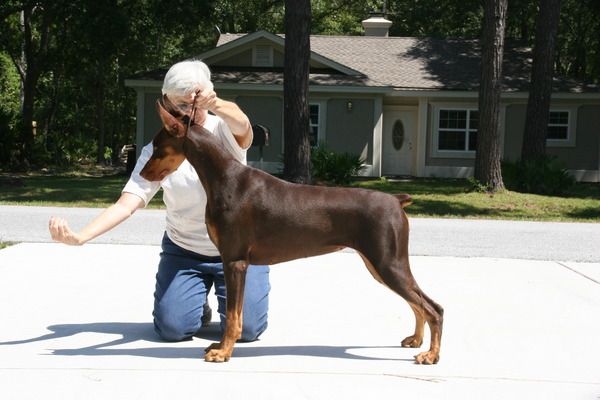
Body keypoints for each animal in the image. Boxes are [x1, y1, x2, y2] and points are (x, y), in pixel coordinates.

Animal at [140, 97, 444, 364]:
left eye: (157, 147)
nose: (141, 173)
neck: (223, 177)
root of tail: (396, 200)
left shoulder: (235, 261)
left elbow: (235, 316)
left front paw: (223, 351)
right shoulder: (233, 261)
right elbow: (234, 314)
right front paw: (219, 346)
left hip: (387, 262)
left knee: (433, 307)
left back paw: (431, 355)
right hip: (379, 264)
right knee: (418, 303)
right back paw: (416, 341)